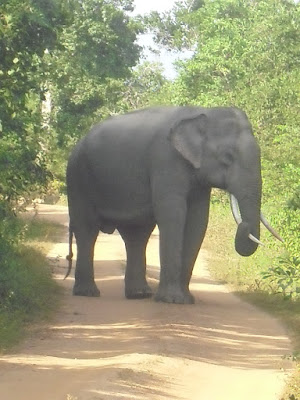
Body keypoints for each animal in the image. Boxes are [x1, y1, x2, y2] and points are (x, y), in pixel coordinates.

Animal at [65, 106, 282, 304]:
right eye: (227, 157)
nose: (244, 226)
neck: (202, 113)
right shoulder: (166, 161)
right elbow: (173, 215)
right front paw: (172, 300)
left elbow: (198, 221)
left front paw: (186, 300)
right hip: (77, 178)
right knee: (87, 229)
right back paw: (88, 293)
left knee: (136, 235)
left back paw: (139, 295)